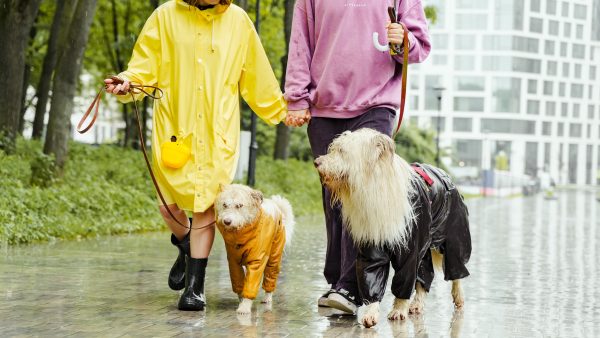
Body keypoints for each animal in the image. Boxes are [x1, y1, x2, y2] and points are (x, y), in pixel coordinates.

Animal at [214, 185, 294, 314]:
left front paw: (244, 307)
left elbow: (252, 282)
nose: (227, 221)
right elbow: (239, 282)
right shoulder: (233, 262)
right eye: (225, 205)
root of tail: (276, 206)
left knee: (270, 277)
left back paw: (267, 297)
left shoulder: (257, 261)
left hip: (274, 257)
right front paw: (242, 300)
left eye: (239, 205)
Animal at [316, 129, 472, 328]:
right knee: (424, 274)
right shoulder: (372, 241)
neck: (373, 187)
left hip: (454, 232)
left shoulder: (410, 246)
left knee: (456, 267)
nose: (317, 162)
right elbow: (371, 274)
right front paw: (371, 312)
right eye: (334, 149)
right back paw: (417, 304)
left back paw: (458, 296)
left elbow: (404, 279)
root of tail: (443, 172)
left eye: (342, 151)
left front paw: (398, 310)